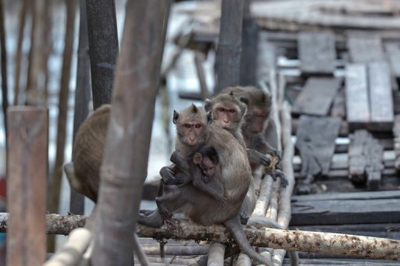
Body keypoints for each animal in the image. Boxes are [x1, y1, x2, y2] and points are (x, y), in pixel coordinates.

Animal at [138, 105, 272, 264]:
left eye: (197, 126)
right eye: (187, 126)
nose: (192, 137)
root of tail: (233, 214)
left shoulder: (209, 149)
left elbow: (213, 185)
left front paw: (178, 164)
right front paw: (165, 171)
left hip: (209, 210)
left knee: (184, 192)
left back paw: (153, 220)